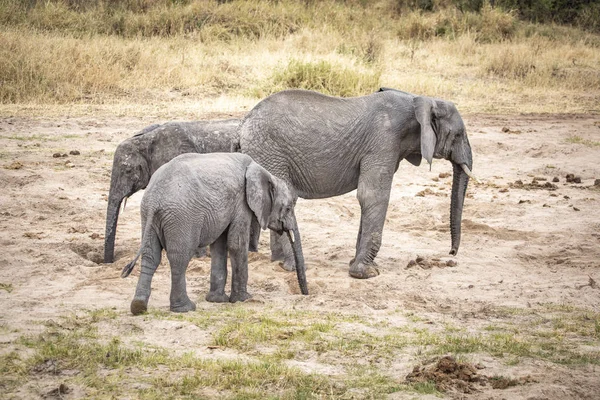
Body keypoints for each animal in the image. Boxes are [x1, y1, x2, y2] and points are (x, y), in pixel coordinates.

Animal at [122, 153, 310, 316]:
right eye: (288, 208)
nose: (305, 294)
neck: (264, 172)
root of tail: (155, 199)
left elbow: (219, 246)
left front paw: (217, 300)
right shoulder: (241, 203)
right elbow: (236, 244)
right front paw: (243, 299)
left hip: (148, 217)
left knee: (150, 257)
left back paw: (138, 307)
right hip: (182, 218)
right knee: (179, 258)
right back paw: (185, 308)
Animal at [237, 89, 476, 280]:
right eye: (458, 135)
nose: (451, 253)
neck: (419, 100)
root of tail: (243, 123)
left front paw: (361, 265)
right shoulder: (383, 141)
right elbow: (372, 196)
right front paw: (366, 273)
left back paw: (277, 261)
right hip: (270, 152)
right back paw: (292, 266)